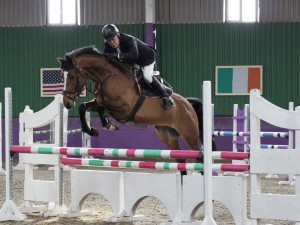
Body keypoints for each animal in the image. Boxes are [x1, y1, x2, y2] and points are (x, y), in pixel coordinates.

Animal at [56, 45, 216, 173]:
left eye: (72, 76)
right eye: (61, 76)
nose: (67, 103)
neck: (108, 77)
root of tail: (188, 103)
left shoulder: (125, 108)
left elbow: (102, 107)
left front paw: (109, 125)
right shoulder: (98, 102)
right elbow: (83, 107)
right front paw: (91, 130)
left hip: (190, 134)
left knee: (199, 156)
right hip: (168, 136)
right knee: (180, 161)